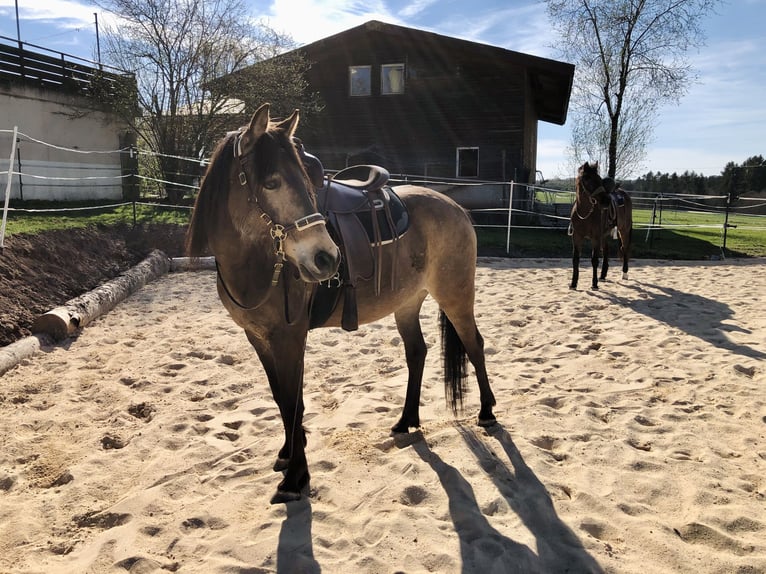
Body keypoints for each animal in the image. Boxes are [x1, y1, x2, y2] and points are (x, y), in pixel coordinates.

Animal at [186, 103, 497, 503]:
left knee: (474, 344)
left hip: (456, 296)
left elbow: (292, 402)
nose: (326, 258)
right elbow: (280, 398)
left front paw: (296, 478)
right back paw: (406, 421)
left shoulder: (290, 338)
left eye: (305, 183)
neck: (257, 263)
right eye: (271, 183)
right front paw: (287, 455)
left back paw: (487, 412)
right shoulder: (258, 338)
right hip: (407, 303)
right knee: (417, 352)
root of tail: (455, 206)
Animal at [569, 161, 633, 290]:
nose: (606, 200)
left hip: (623, 230)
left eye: (599, 179)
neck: (585, 214)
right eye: (587, 179)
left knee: (625, 248)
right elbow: (575, 259)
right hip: (604, 235)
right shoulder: (577, 237)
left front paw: (594, 284)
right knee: (606, 250)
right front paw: (573, 283)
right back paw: (603, 275)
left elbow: (594, 260)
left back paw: (624, 273)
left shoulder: (595, 238)